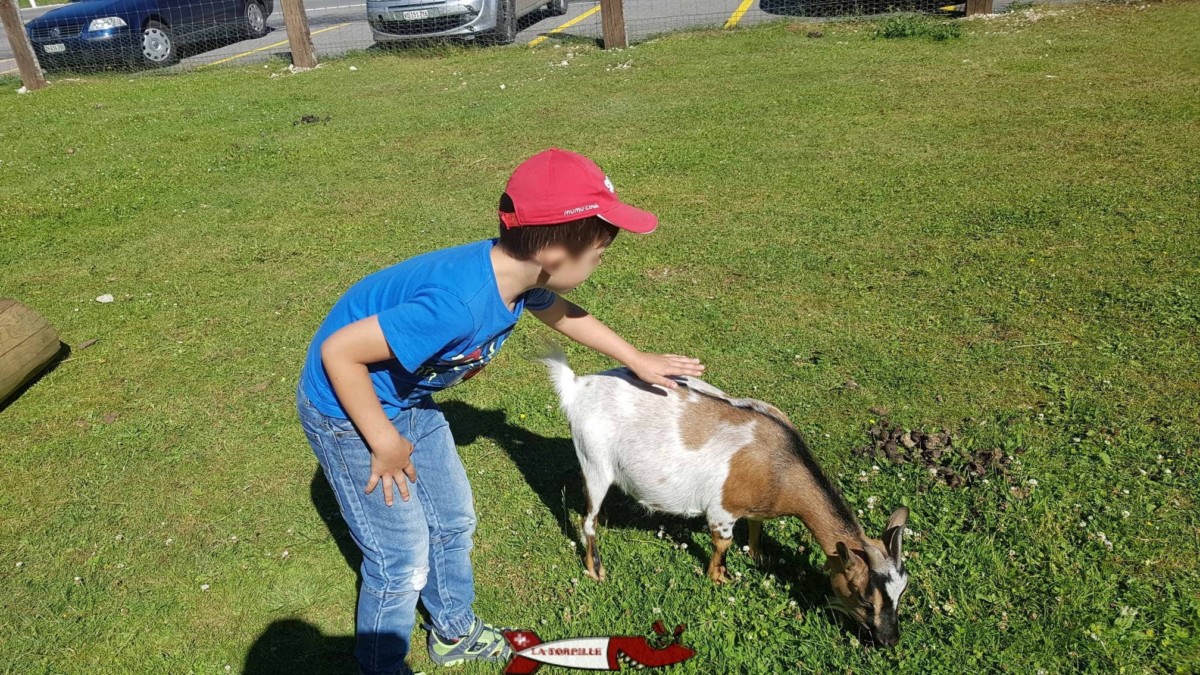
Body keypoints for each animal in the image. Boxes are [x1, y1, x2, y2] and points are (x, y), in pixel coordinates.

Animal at [542, 348, 907, 643]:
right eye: (864, 598)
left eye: (902, 592)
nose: (890, 640)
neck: (781, 466)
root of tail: (578, 387)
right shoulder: (722, 510)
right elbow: (722, 544)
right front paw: (719, 577)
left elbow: (757, 528)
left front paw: (758, 556)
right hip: (595, 460)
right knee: (586, 521)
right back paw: (596, 568)